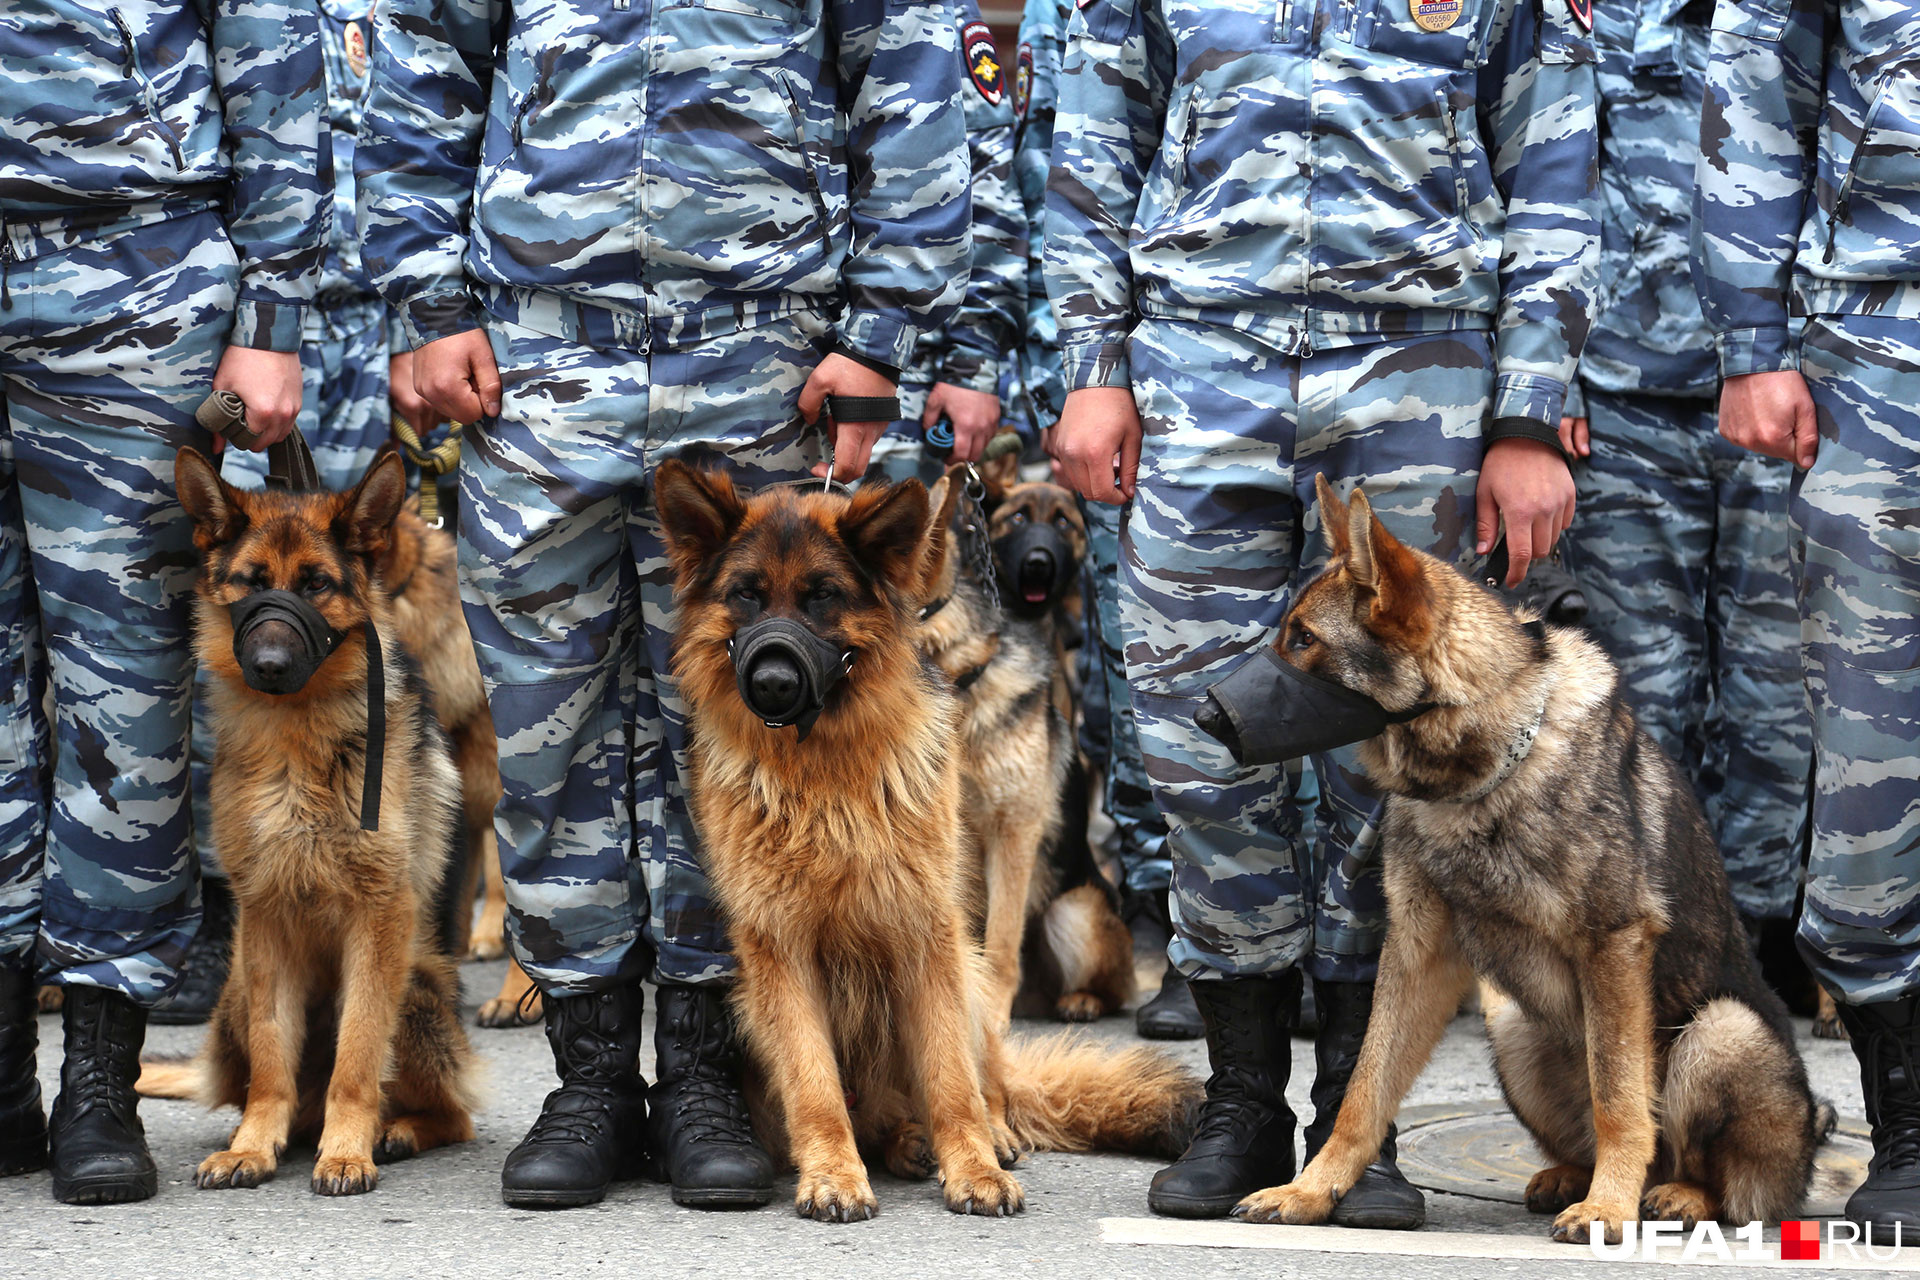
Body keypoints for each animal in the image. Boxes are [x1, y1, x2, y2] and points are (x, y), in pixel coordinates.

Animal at [135, 450, 476, 1189]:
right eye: (252, 583)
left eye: (316, 584)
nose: (269, 665)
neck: (297, 737)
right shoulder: (263, 918)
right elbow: (272, 1058)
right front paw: (252, 1145)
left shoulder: (380, 918)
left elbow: (359, 1052)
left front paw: (348, 1149)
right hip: (234, 989)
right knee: (270, 1085)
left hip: (416, 987)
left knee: (451, 1113)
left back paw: (392, 1131)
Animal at [656, 466, 1198, 1228]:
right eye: (746, 595)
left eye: (822, 596)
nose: (773, 682)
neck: (825, 775)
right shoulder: (781, 951)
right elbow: (814, 1084)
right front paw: (833, 1174)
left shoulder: (930, 931)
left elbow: (950, 1078)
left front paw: (972, 1166)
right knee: (865, 1113)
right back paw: (899, 1143)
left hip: (1010, 949)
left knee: (986, 1073)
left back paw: (979, 1134)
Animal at [1228, 477, 1827, 1243]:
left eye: (1304, 639)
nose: (1206, 714)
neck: (1483, 771)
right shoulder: (1417, 952)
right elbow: (1364, 1089)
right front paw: (1311, 1189)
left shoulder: (1613, 947)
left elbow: (1620, 1099)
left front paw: (1607, 1209)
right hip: (1513, 1027)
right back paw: (1574, 1176)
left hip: (1719, 1033)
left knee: (1720, 1180)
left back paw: (1672, 1195)